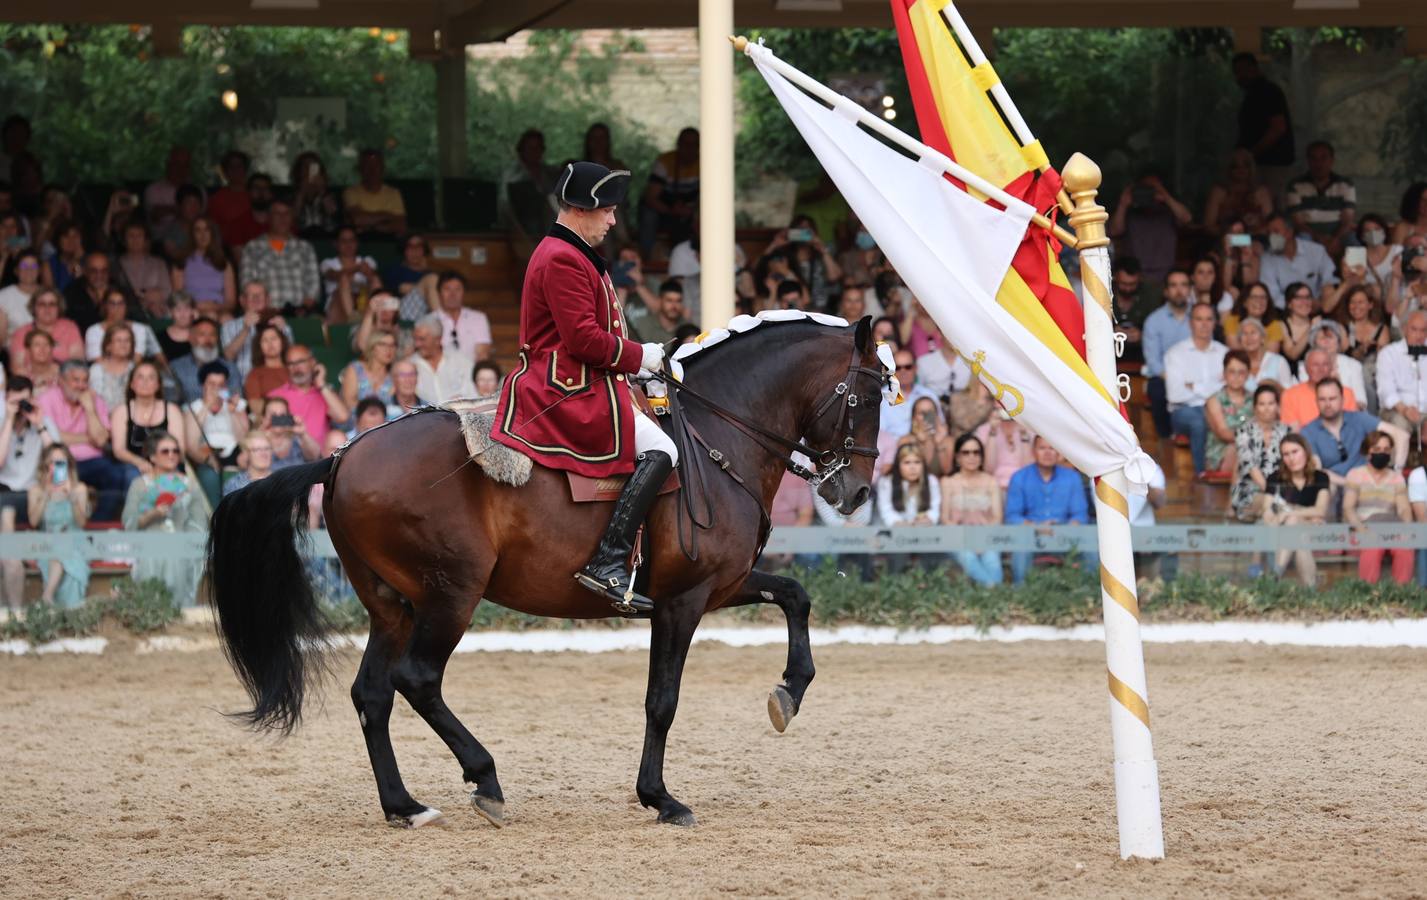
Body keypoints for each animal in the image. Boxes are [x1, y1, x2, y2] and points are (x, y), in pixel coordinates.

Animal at [206, 316, 884, 832]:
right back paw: (484, 779)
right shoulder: (683, 601)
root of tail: (343, 455)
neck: (716, 436)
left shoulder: (717, 586)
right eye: (865, 398)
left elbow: (795, 595)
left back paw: (404, 806)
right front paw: (660, 798)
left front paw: (789, 693)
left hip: (392, 604)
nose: (854, 493)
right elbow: (661, 701)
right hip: (451, 594)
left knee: (373, 694)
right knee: (417, 680)